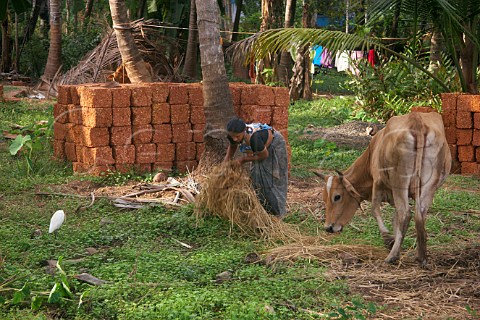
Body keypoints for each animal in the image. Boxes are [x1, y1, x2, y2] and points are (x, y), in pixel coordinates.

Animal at [316, 111, 452, 266]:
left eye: (337, 196)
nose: (328, 227)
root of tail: (416, 120)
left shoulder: (378, 183)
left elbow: (375, 210)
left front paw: (388, 239)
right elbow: (395, 219)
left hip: (400, 181)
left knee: (406, 213)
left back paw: (392, 256)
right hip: (429, 185)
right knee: (419, 214)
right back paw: (421, 256)